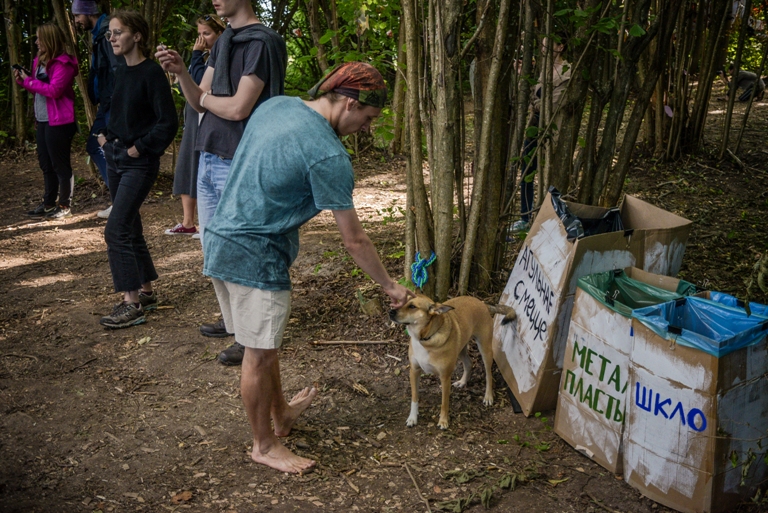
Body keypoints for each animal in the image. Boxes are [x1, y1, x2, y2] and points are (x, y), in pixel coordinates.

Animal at [390, 294, 516, 430]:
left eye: (412, 306)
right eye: (401, 302)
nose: (390, 311)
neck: (425, 339)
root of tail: (482, 303)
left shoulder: (445, 377)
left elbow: (444, 402)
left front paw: (443, 421)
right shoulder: (414, 371)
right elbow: (414, 397)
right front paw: (412, 418)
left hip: (485, 349)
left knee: (488, 374)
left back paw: (488, 396)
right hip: (461, 349)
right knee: (469, 363)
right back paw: (462, 382)